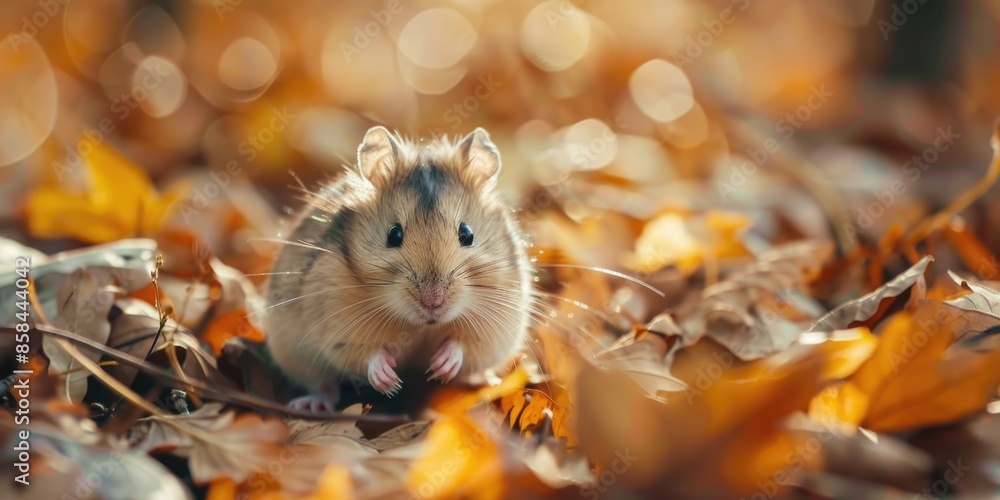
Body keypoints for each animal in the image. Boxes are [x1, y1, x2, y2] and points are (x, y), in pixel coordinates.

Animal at [264, 127, 532, 412]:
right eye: (393, 234)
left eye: (467, 233)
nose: (433, 303)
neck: (422, 325)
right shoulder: (337, 319)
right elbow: (364, 355)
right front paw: (390, 382)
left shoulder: (496, 322)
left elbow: (464, 345)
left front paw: (439, 367)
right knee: (324, 385)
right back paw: (311, 404)